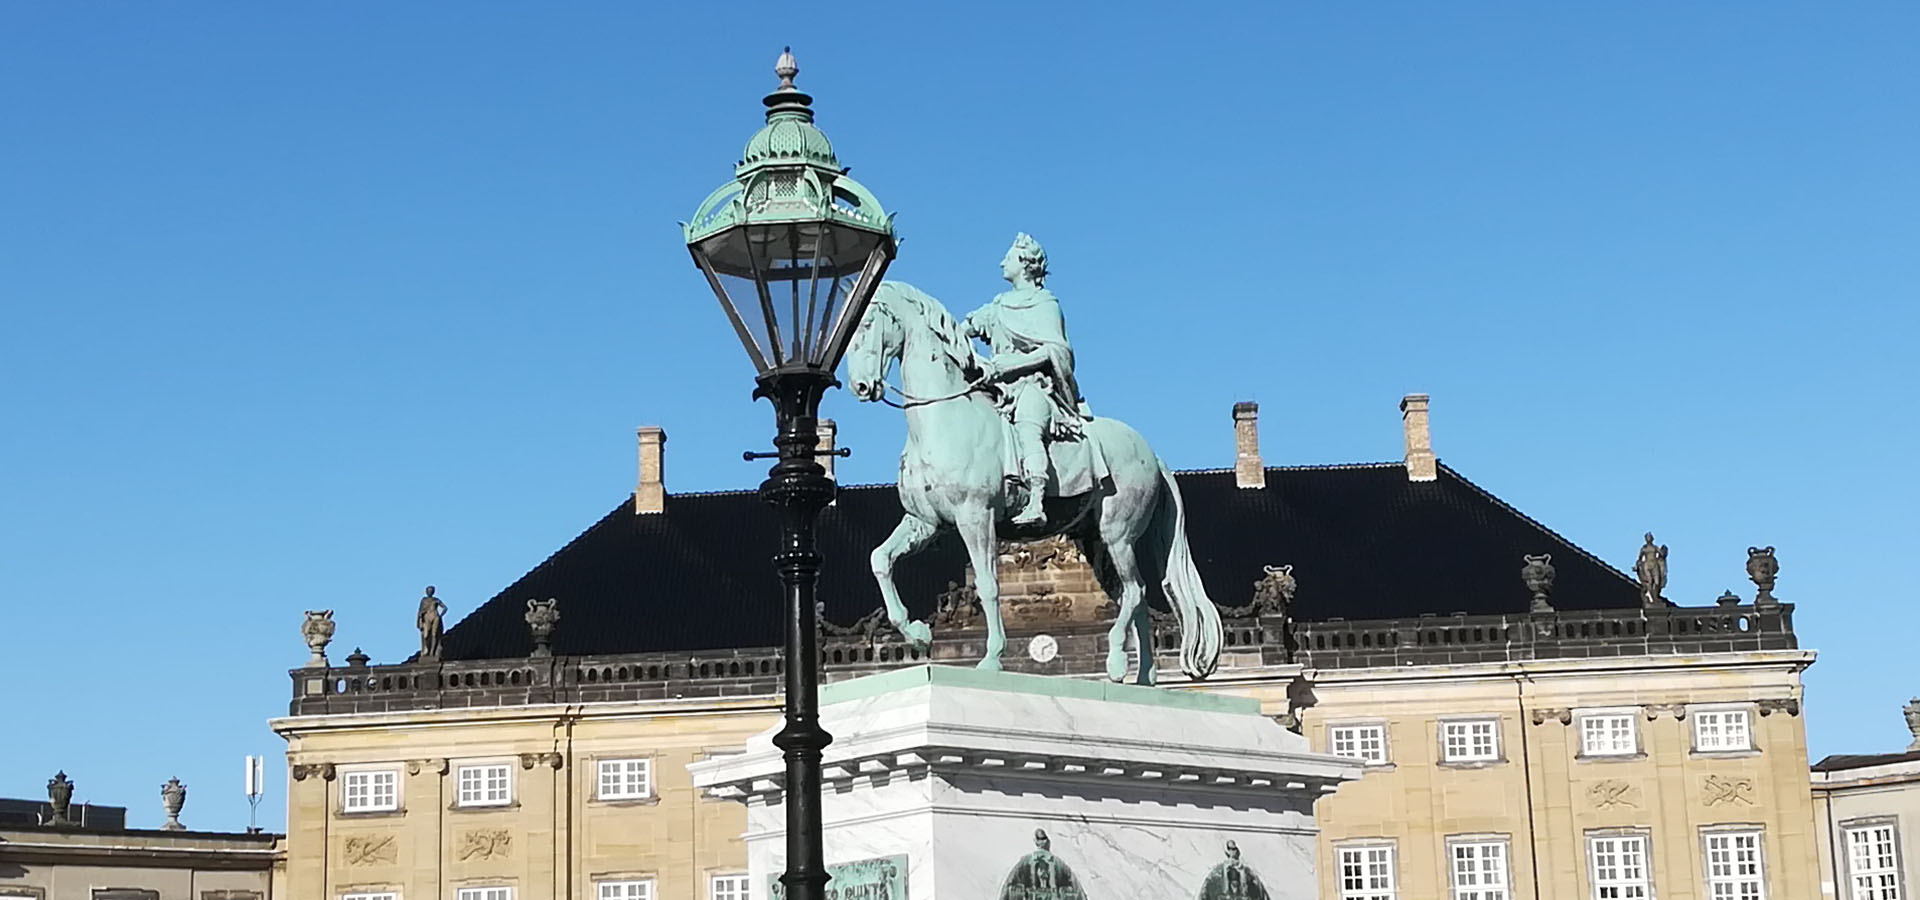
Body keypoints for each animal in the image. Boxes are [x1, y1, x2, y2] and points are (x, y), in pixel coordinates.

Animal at [848, 280, 1221, 679]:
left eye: (868, 323)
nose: (861, 386)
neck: (943, 418)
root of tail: (1152, 452)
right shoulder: (926, 522)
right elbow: (880, 559)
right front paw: (916, 633)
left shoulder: (974, 517)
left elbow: (989, 585)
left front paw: (991, 658)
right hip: (1095, 541)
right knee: (1134, 601)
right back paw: (1143, 678)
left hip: (1117, 533)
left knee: (1136, 591)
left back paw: (1117, 660)